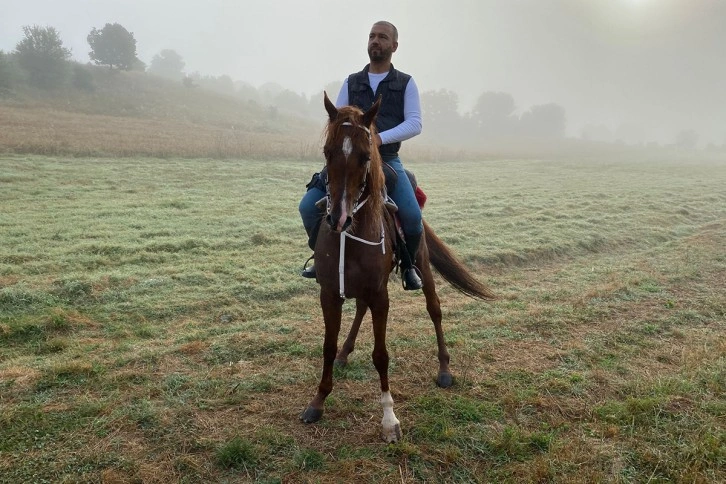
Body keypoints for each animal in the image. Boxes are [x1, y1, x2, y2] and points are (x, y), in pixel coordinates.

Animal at [298, 91, 498, 442]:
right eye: (326, 152)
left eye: (366, 156)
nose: (338, 218)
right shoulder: (330, 293)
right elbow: (326, 346)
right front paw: (318, 400)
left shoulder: (381, 295)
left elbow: (381, 355)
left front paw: (389, 419)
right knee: (360, 310)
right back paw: (345, 353)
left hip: (421, 266)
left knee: (434, 309)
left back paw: (444, 369)